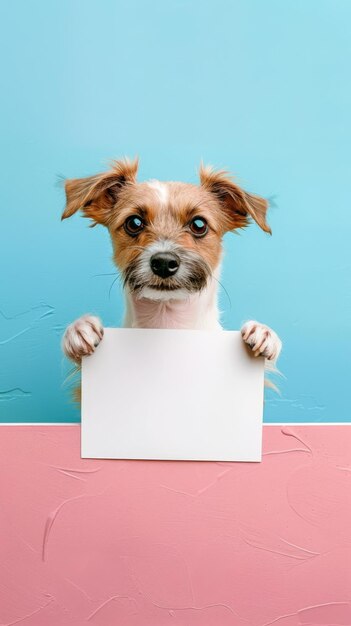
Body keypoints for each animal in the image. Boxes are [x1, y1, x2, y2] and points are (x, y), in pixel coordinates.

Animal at [59, 157, 280, 370]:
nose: (164, 263)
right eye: (134, 223)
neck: (167, 324)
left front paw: (264, 333)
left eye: (199, 224)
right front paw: (78, 329)